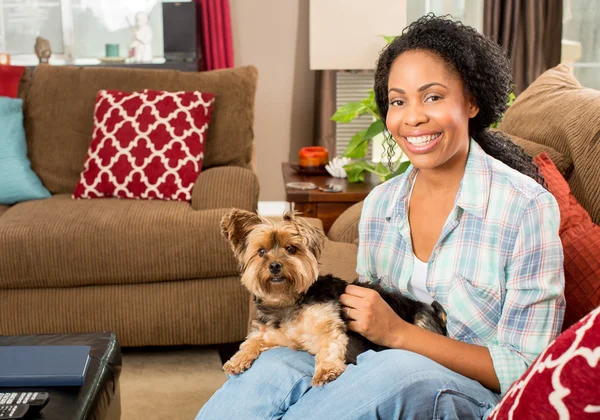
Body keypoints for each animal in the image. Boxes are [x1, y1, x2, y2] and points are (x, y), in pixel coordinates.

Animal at [220, 208, 446, 386]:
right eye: (261, 252)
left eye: (291, 249)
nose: (275, 265)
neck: (287, 300)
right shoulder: (274, 334)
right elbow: (252, 340)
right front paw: (237, 360)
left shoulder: (328, 323)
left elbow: (329, 345)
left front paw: (326, 371)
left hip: (422, 322)